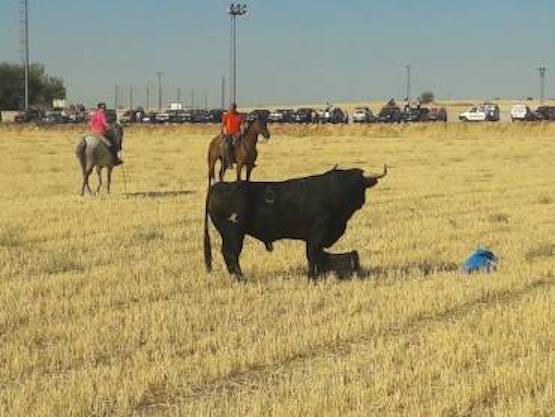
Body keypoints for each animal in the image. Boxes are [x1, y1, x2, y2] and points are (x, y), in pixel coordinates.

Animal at [203, 166, 386, 280]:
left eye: (358, 185)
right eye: (351, 186)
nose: (360, 201)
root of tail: (217, 186)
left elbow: (320, 256)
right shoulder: (316, 234)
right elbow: (312, 254)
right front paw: (312, 277)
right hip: (233, 234)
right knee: (230, 254)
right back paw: (241, 278)